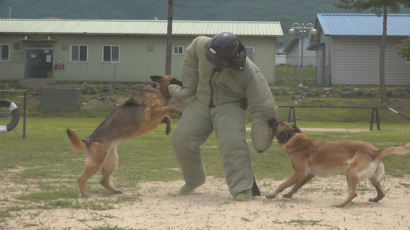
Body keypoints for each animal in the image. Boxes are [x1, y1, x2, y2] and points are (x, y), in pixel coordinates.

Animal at [266, 121, 410, 208]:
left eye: (277, 124)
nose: (271, 120)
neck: (293, 137)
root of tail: (376, 151)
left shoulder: (299, 173)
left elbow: (283, 184)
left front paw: (272, 195)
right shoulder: (308, 175)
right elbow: (296, 186)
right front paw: (288, 195)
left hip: (351, 172)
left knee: (353, 193)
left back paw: (341, 204)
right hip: (372, 178)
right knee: (381, 193)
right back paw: (374, 200)